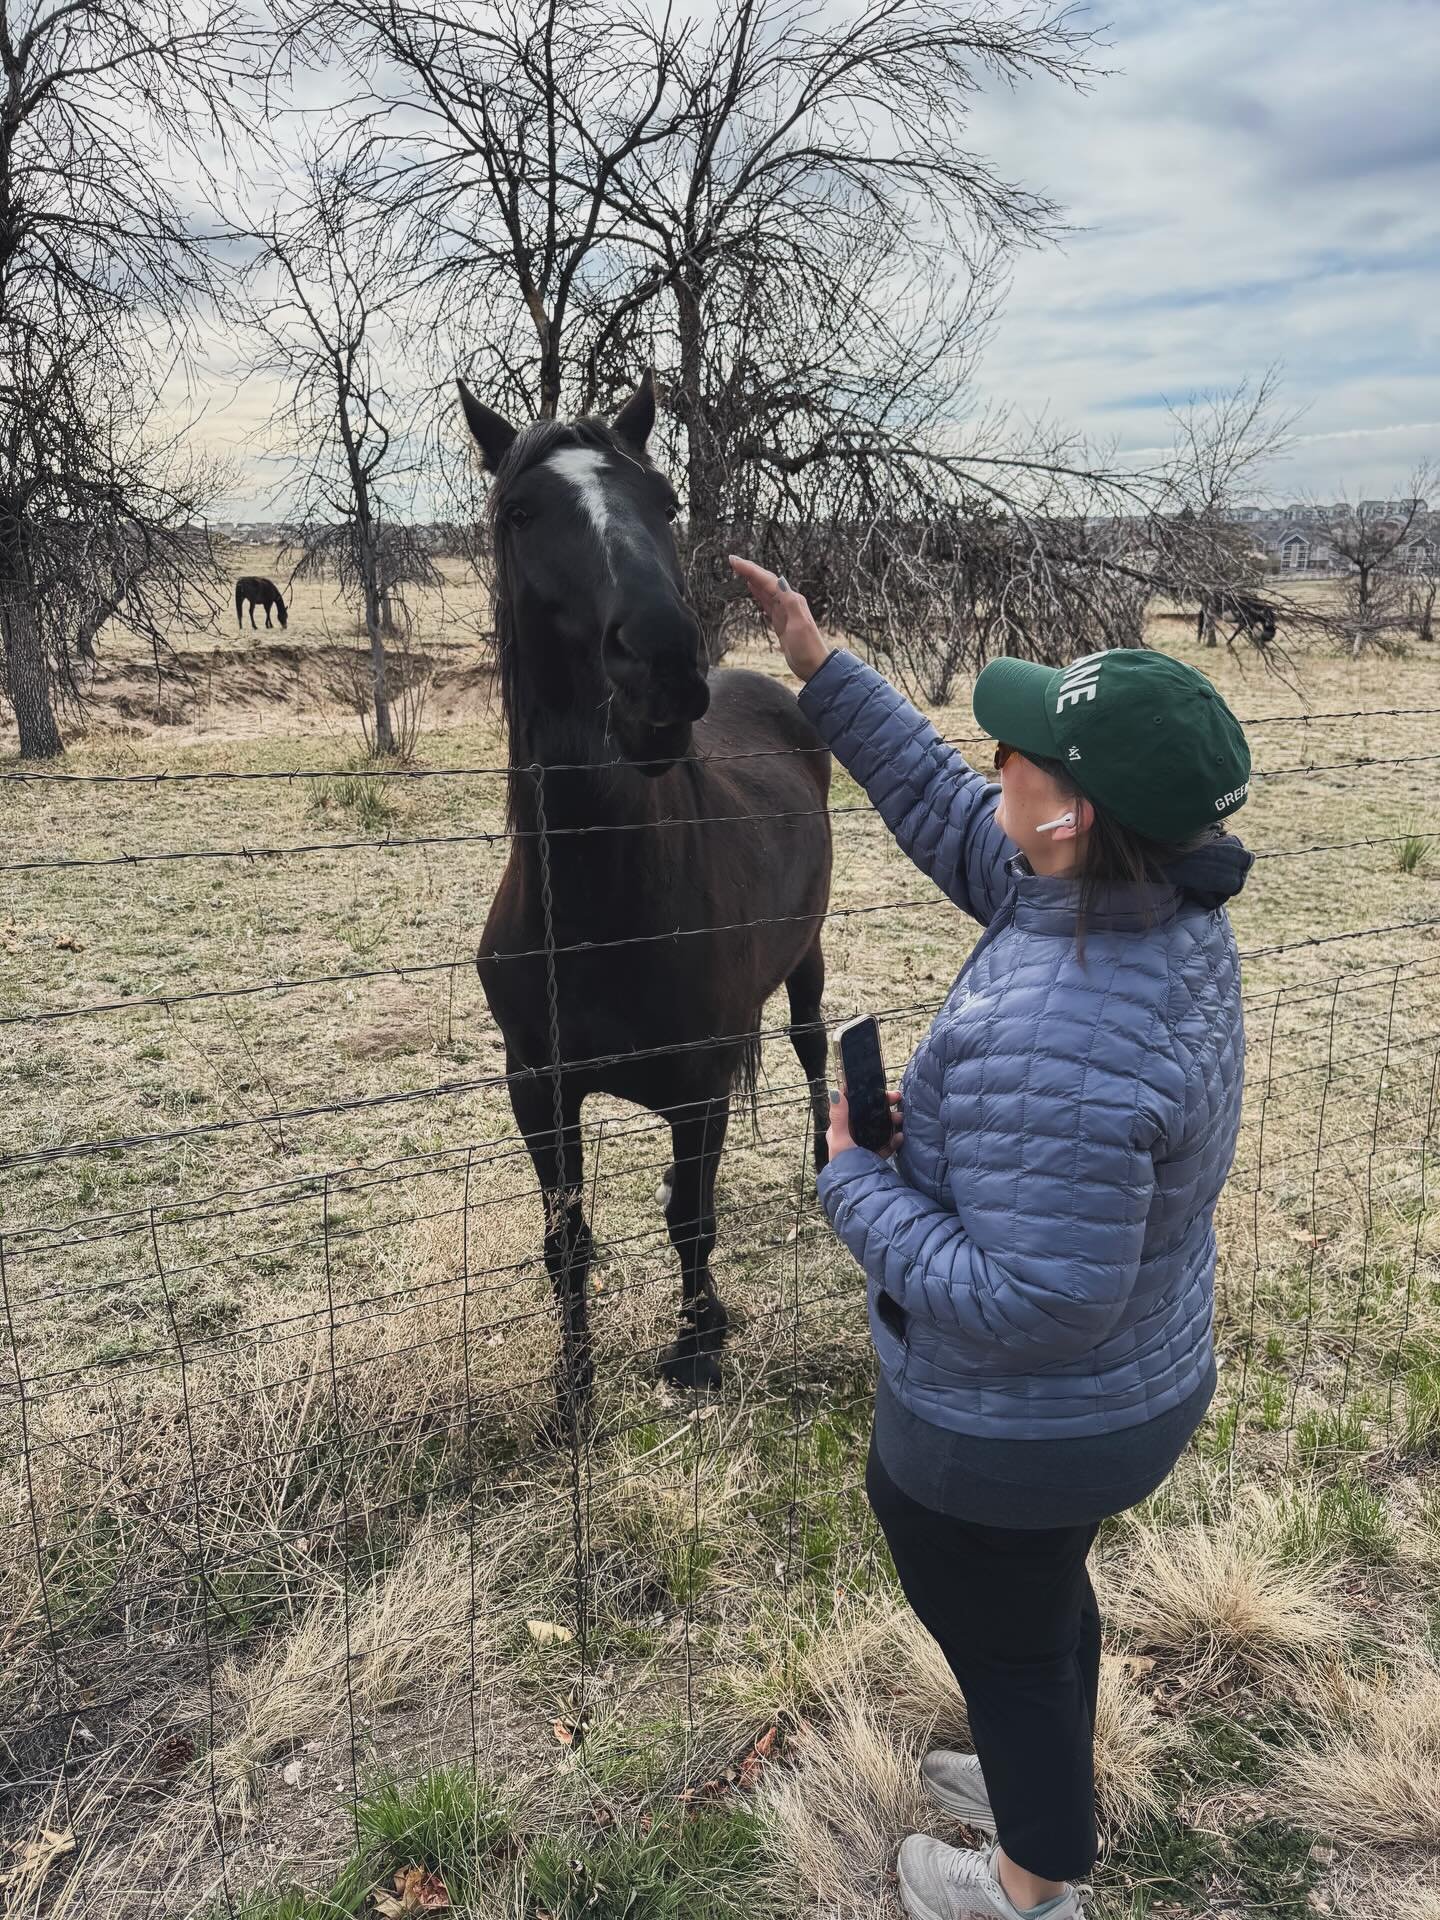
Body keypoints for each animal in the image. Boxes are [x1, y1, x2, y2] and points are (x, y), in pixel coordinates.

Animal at [459, 370, 833, 1415]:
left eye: (664, 502)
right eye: (520, 511)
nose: (662, 663)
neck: (599, 910)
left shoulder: (699, 1089)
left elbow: (692, 1225)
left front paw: (699, 1346)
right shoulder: (537, 1090)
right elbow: (568, 1246)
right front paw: (574, 1389)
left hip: (807, 961)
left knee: (812, 1044)